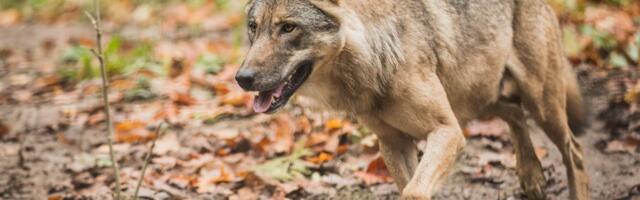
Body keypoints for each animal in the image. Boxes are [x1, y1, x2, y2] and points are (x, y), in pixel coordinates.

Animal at [235, 0, 592, 198]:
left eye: (288, 28)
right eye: (254, 27)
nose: (242, 78)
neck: (377, 54)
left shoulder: (447, 132)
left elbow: (415, 191)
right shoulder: (392, 143)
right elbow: (409, 185)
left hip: (540, 104)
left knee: (574, 152)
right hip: (479, 97)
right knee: (515, 114)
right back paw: (531, 177)